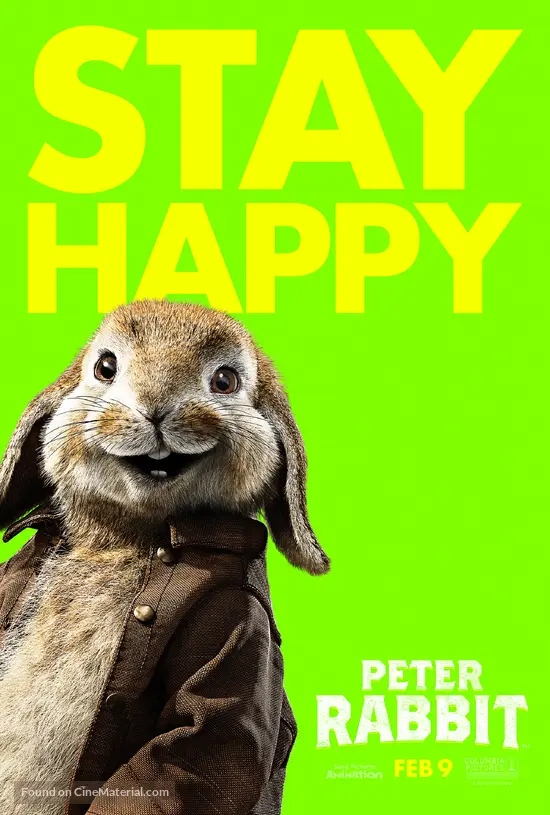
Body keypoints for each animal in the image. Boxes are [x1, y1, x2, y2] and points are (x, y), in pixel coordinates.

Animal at [0, 299, 329, 815]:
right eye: (106, 367)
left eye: (225, 381)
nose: (155, 407)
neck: (125, 534)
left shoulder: (238, 625)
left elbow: (191, 742)